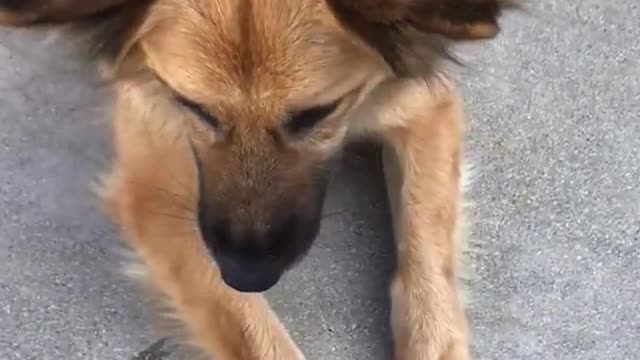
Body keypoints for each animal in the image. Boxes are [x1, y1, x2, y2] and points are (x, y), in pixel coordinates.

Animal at [0, 1, 520, 358]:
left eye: (317, 114)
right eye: (194, 107)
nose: (247, 276)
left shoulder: (422, 103)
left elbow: (427, 272)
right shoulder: (155, 189)